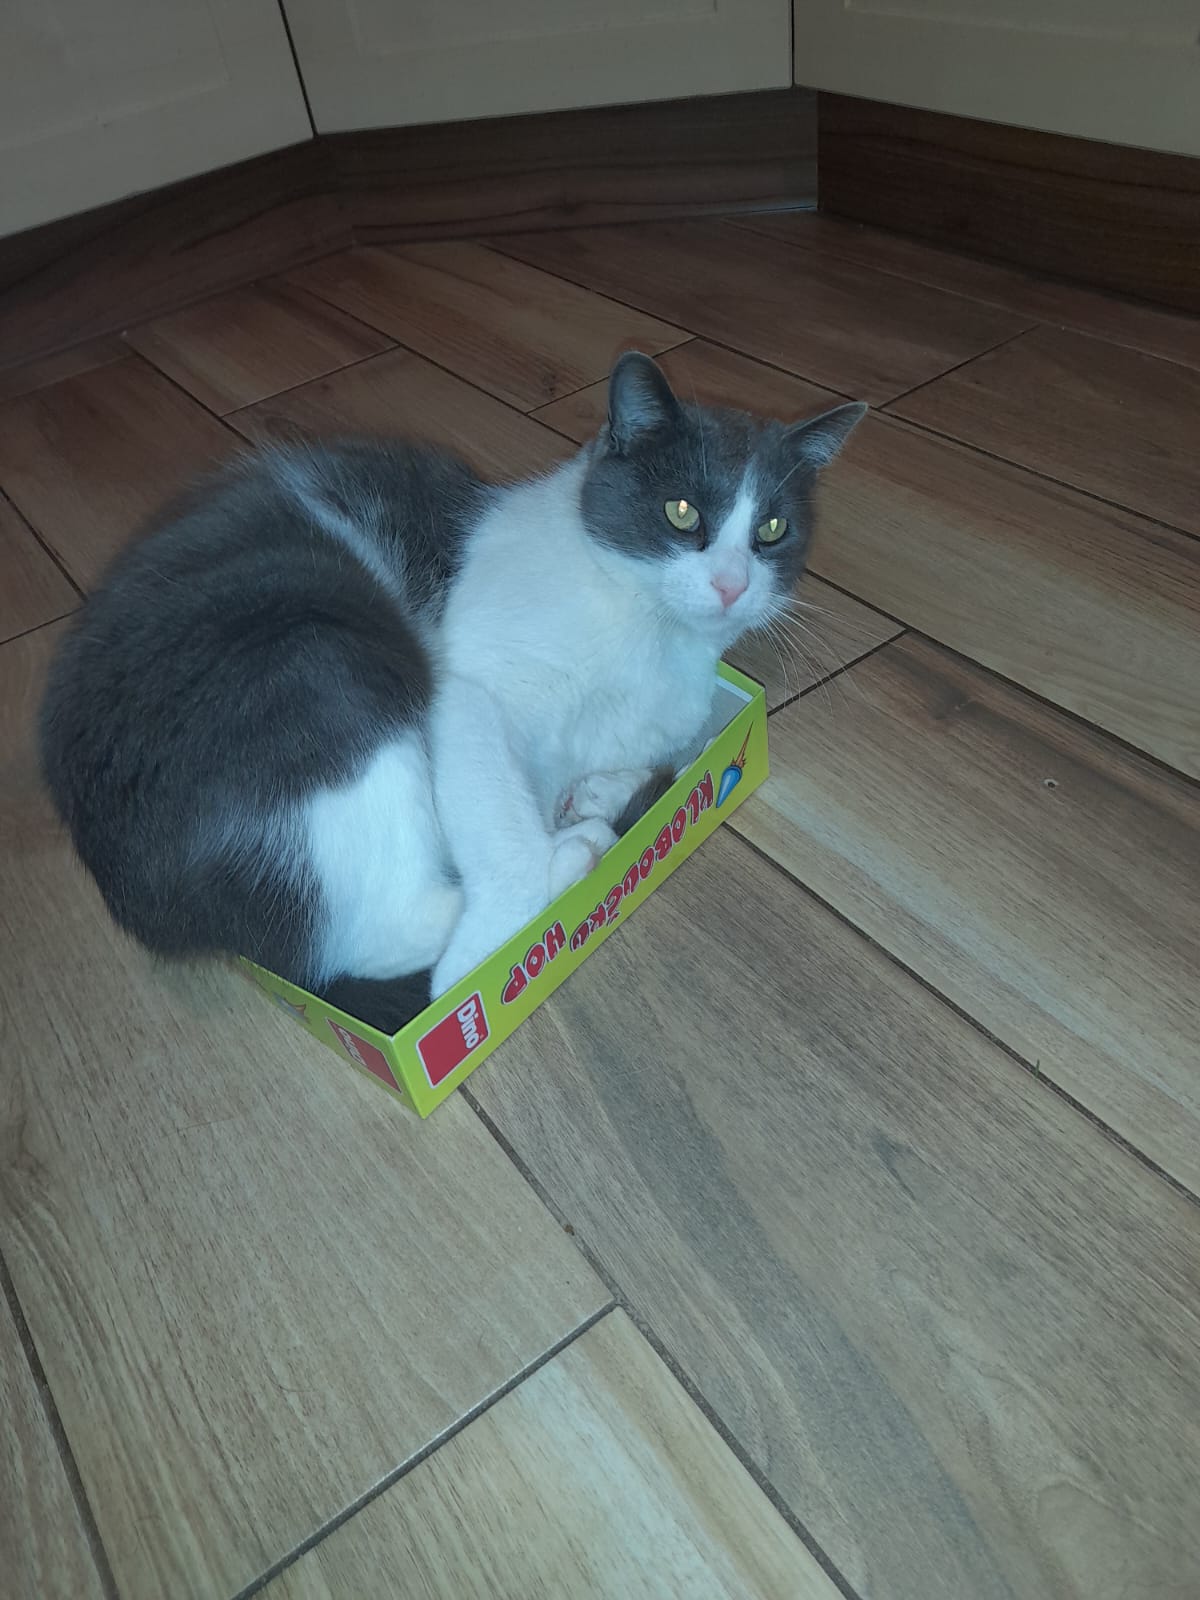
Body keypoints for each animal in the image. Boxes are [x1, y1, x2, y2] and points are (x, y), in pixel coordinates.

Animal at [39, 351, 864, 1031]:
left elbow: (659, 751)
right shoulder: (466, 694)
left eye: (772, 529)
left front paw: (600, 789)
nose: (731, 584)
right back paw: (572, 860)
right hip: (321, 671)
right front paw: (528, 898)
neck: (650, 634)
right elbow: (501, 832)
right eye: (683, 511)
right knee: (388, 930)